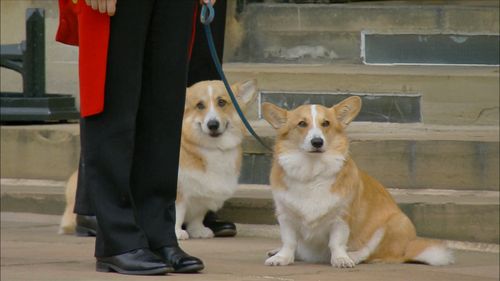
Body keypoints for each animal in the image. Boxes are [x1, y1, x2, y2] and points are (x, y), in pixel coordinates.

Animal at [176, 78, 258, 238]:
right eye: (200, 105)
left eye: (221, 102)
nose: (213, 125)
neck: (213, 148)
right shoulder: (179, 190)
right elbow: (178, 212)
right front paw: (176, 232)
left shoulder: (203, 190)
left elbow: (197, 216)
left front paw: (198, 231)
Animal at [262, 97, 454, 266]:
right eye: (302, 124)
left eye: (326, 123)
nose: (317, 142)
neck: (312, 171)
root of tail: (407, 248)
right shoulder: (285, 216)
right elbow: (289, 242)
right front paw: (282, 258)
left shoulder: (342, 217)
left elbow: (337, 243)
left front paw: (341, 259)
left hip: (395, 222)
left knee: (370, 252)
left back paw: (353, 256)